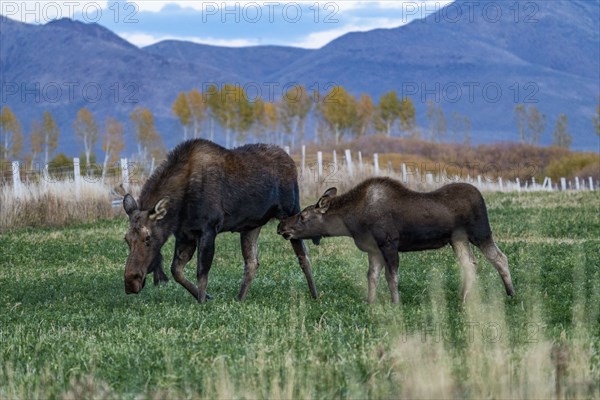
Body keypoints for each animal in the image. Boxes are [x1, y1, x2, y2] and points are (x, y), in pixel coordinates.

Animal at [122, 139, 318, 302]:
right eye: (126, 239)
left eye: (148, 238)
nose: (130, 283)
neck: (178, 211)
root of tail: (292, 163)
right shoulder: (185, 234)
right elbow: (176, 271)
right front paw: (208, 297)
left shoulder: (208, 229)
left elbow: (202, 273)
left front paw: (202, 303)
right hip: (251, 225)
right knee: (252, 262)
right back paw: (239, 299)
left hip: (291, 212)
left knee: (304, 255)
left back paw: (314, 295)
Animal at [278, 178, 516, 304]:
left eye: (303, 216)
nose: (281, 226)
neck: (351, 221)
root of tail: (480, 195)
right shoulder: (373, 250)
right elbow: (372, 276)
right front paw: (371, 302)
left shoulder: (389, 244)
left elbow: (391, 277)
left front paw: (395, 302)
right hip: (457, 240)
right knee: (470, 263)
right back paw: (464, 297)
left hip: (480, 232)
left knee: (500, 257)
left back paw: (511, 292)